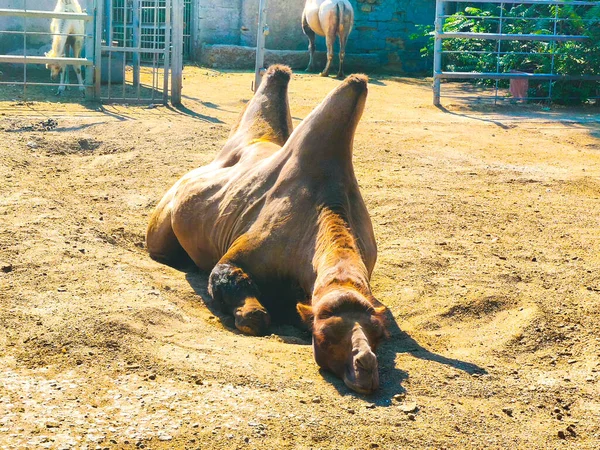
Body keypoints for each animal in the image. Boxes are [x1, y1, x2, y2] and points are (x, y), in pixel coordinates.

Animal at [148, 66, 386, 394]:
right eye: (324, 336)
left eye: (380, 334)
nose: (366, 365)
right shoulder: (238, 257)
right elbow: (249, 307)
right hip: (161, 226)